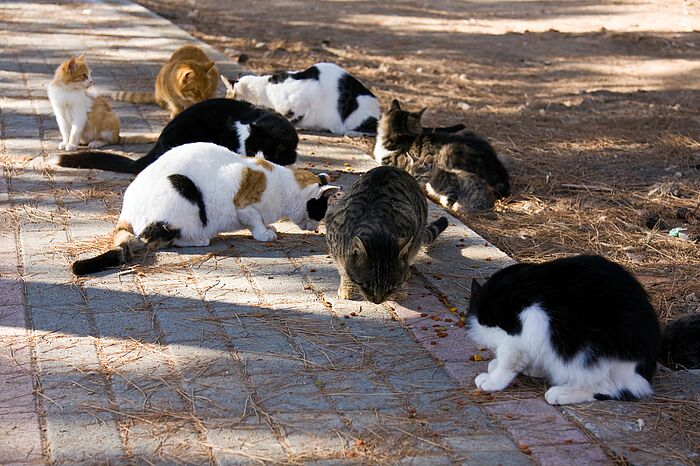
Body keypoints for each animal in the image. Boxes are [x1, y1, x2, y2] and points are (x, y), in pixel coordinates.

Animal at [72, 140, 340, 274]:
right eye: (320, 211)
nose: (316, 228)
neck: (282, 183)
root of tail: (125, 212)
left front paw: (269, 227)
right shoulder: (243, 204)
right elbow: (253, 220)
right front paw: (264, 233)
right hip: (181, 188)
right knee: (161, 238)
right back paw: (199, 239)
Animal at [324, 166, 446, 304]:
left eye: (391, 287)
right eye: (365, 286)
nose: (377, 301)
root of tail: (391, 167)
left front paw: (400, 290)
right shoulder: (332, 229)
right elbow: (343, 269)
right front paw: (348, 286)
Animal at [468, 255, 660, 404]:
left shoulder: (527, 327)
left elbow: (509, 360)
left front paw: (492, 380)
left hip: (592, 356)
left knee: (612, 388)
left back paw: (561, 393)